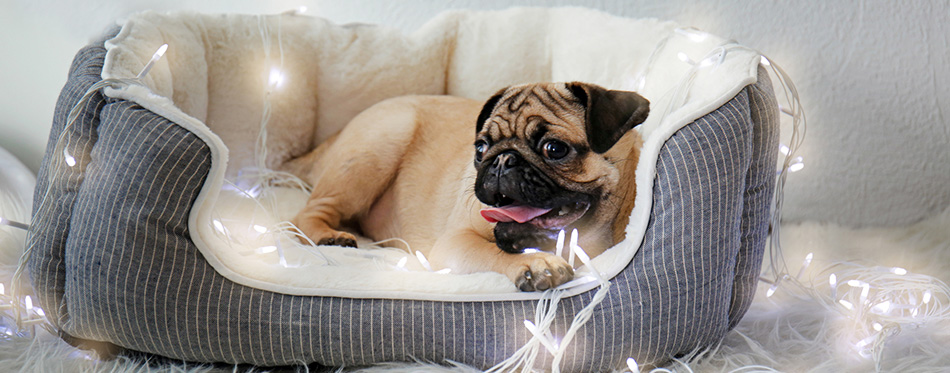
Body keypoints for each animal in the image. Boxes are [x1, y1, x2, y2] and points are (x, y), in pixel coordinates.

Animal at [286, 82, 652, 290]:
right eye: (480, 149)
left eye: (554, 148)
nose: (501, 161)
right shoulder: (455, 243)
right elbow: (492, 251)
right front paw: (535, 264)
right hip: (378, 145)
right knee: (308, 212)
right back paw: (328, 236)